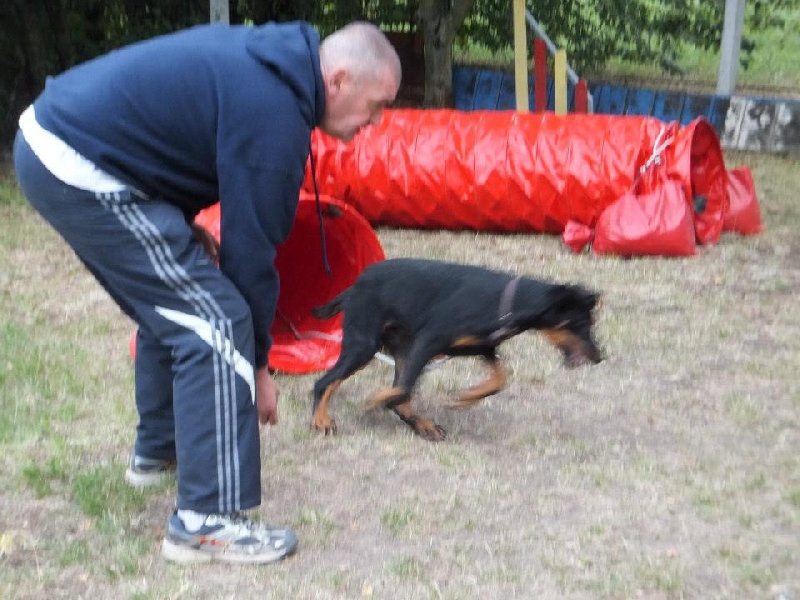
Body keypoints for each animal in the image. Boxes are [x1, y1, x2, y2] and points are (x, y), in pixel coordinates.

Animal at [310, 258, 604, 440]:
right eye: (580, 323)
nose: (599, 357)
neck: (506, 300)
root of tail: (354, 287)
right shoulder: (428, 342)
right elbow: (402, 390)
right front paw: (375, 399)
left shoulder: (484, 348)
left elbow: (500, 379)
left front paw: (466, 397)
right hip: (365, 344)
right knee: (325, 382)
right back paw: (321, 420)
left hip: (400, 348)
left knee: (399, 399)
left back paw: (425, 426)